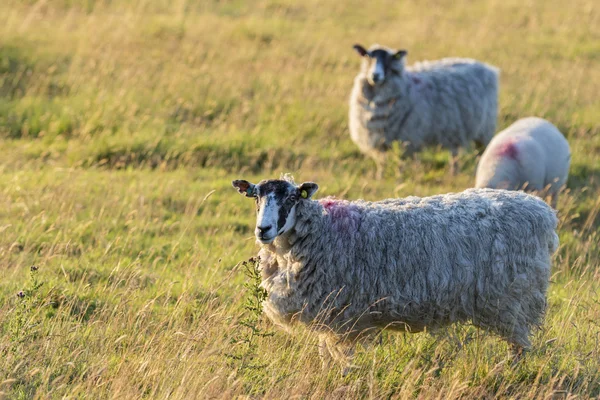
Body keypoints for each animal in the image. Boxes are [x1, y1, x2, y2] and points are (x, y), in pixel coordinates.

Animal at [232, 177, 560, 374]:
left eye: (290, 199)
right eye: (255, 197)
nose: (263, 229)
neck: (321, 231)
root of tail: (542, 212)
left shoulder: (342, 317)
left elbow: (342, 359)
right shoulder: (331, 315)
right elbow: (327, 355)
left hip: (513, 301)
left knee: (519, 347)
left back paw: (510, 373)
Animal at [350, 43, 500, 176]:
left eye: (389, 59)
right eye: (367, 56)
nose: (375, 75)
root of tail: (486, 67)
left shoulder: (406, 137)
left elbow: (400, 162)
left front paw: (399, 178)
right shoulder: (379, 140)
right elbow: (381, 163)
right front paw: (380, 177)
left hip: (484, 130)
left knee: (482, 152)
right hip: (455, 128)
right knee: (454, 152)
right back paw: (454, 172)